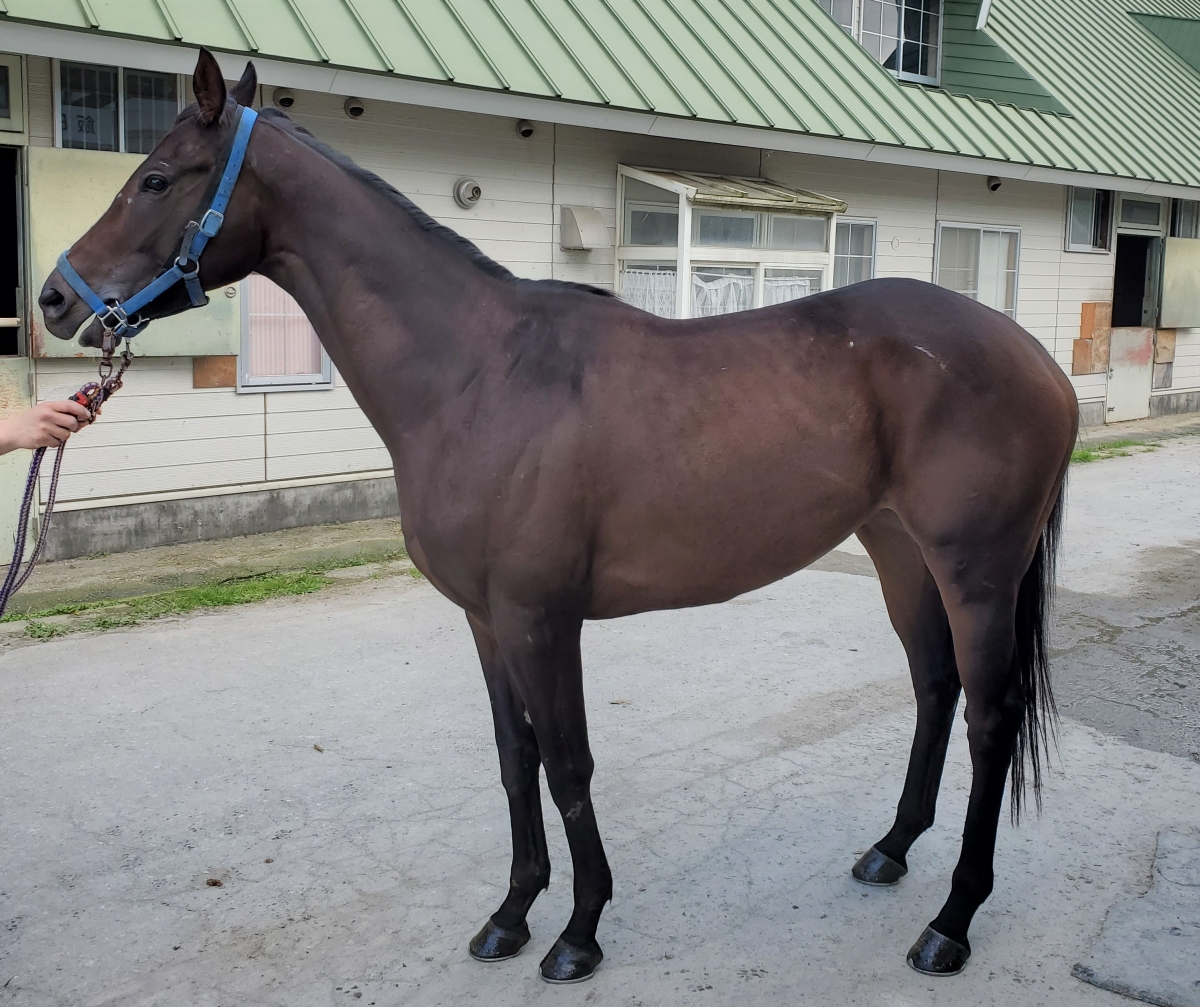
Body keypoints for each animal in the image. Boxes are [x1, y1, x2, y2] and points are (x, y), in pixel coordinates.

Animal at [38, 49, 1077, 984]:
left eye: (154, 178)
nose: (54, 298)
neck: (477, 373)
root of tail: (1038, 359)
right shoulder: (487, 618)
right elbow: (517, 759)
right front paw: (510, 913)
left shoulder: (544, 618)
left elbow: (571, 763)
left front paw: (579, 932)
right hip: (899, 552)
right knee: (935, 687)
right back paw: (890, 849)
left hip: (978, 573)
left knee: (990, 717)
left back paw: (950, 923)